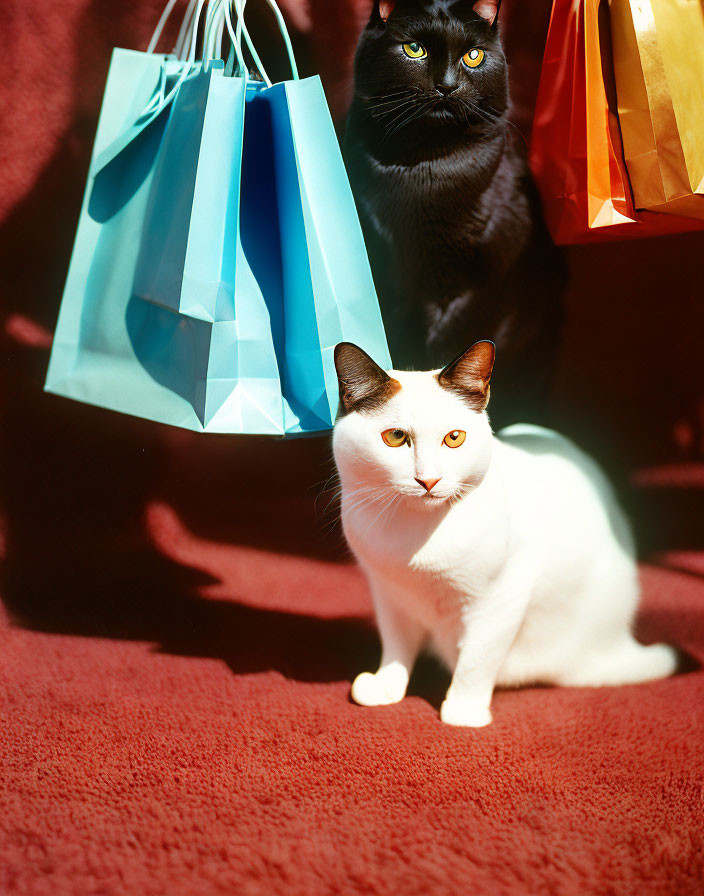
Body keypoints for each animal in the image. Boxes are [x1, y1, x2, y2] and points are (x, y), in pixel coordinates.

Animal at [332, 340, 680, 724]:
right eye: (395, 437)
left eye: (454, 438)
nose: (429, 480)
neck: (413, 538)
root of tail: (618, 642)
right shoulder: (389, 595)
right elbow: (396, 645)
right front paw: (387, 686)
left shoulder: (499, 597)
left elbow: (477, 659)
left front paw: (464, 711)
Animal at [342, 0, 568, 428]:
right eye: (414, 49)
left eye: (473, 55)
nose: (446, 85)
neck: (424, 171)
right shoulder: (387, 277)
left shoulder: (478, 286)